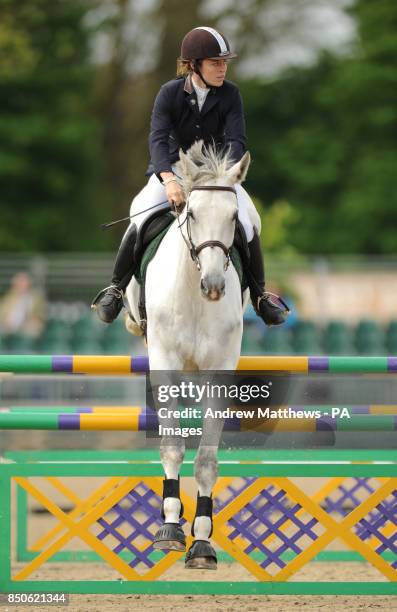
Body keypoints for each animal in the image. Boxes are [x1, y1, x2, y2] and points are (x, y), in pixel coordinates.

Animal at [125, 142, 252, 568]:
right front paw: (169, 527)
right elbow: (172, 445)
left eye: (233, 217)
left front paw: (201, 542)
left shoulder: (219, 374)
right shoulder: (164, 366)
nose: (213, 285)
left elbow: (206, 460)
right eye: (192, 214)